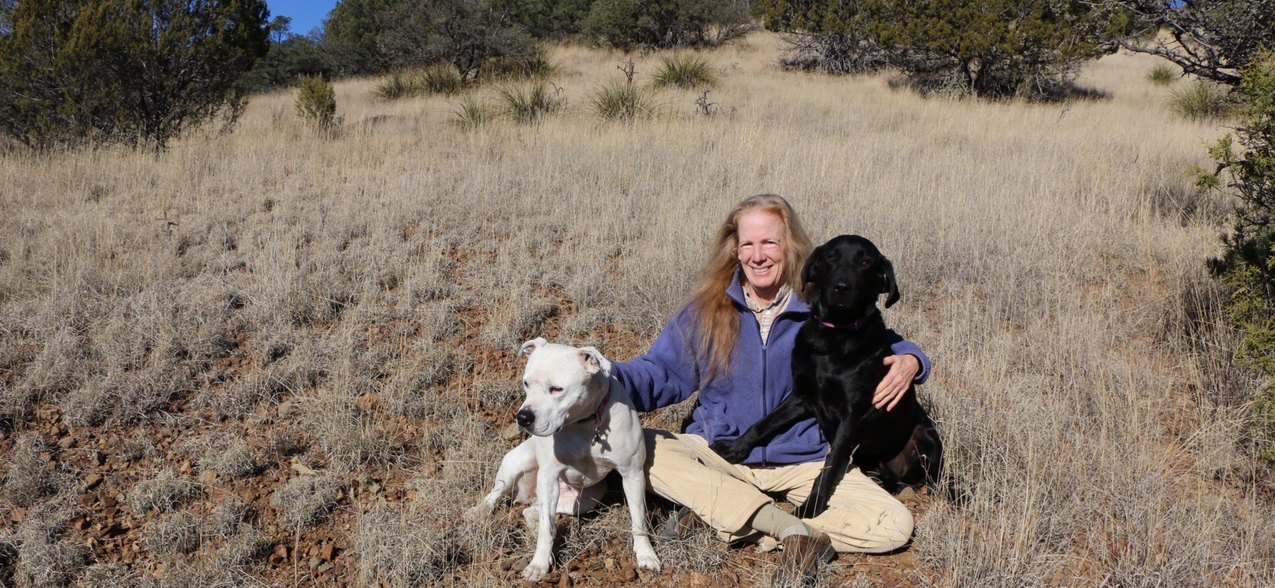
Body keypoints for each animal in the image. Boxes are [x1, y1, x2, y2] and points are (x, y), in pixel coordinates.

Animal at [464, 336, 663, 579]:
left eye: (557, 389)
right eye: (526, 383)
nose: (523, 417)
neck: (583, 423)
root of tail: (528, 494)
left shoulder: (632, 474)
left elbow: (638, 519)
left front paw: (646, 554)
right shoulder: (549, 477)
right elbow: (546, 528)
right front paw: (539, 564)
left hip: (586, 499)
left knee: (533, 512)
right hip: (515, 466)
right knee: (498, 495)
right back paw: (479, 511)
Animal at [714, 233, 943, 517]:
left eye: (866, 262)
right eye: (831, 257)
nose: (841, 287)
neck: (834, 335)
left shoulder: (850, 418)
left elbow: (829, 466)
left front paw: (811, 506)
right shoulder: (801, 397)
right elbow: (762, 424)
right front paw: (735, 448)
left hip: (927, 437)